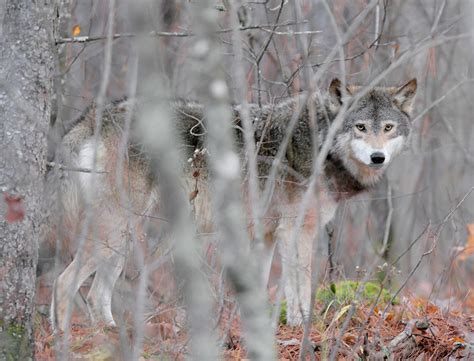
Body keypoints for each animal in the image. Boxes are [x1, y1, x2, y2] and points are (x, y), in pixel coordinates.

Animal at [46, 78, 416, 330]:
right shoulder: (296, 232)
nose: (378, 157)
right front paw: (301, 328)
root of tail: (94, 116)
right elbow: (300, 288)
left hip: (123, 237)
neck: (321, 143)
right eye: (360, 127)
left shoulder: (269, 236)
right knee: (63, 283)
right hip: (116, 230)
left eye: (388, 127)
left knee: (96, 294)